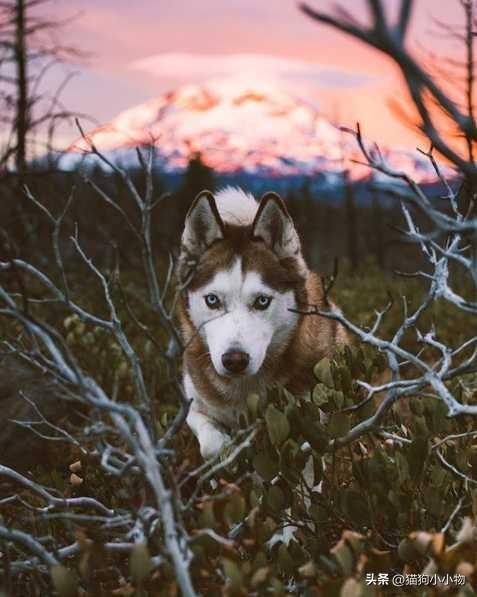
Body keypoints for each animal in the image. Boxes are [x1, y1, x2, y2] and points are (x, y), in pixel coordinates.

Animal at [177, 186, 344, 456]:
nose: (235, 360)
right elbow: (211, 446)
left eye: (262, 301)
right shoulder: (194, 407)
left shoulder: (311, 416)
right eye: (212, 300)